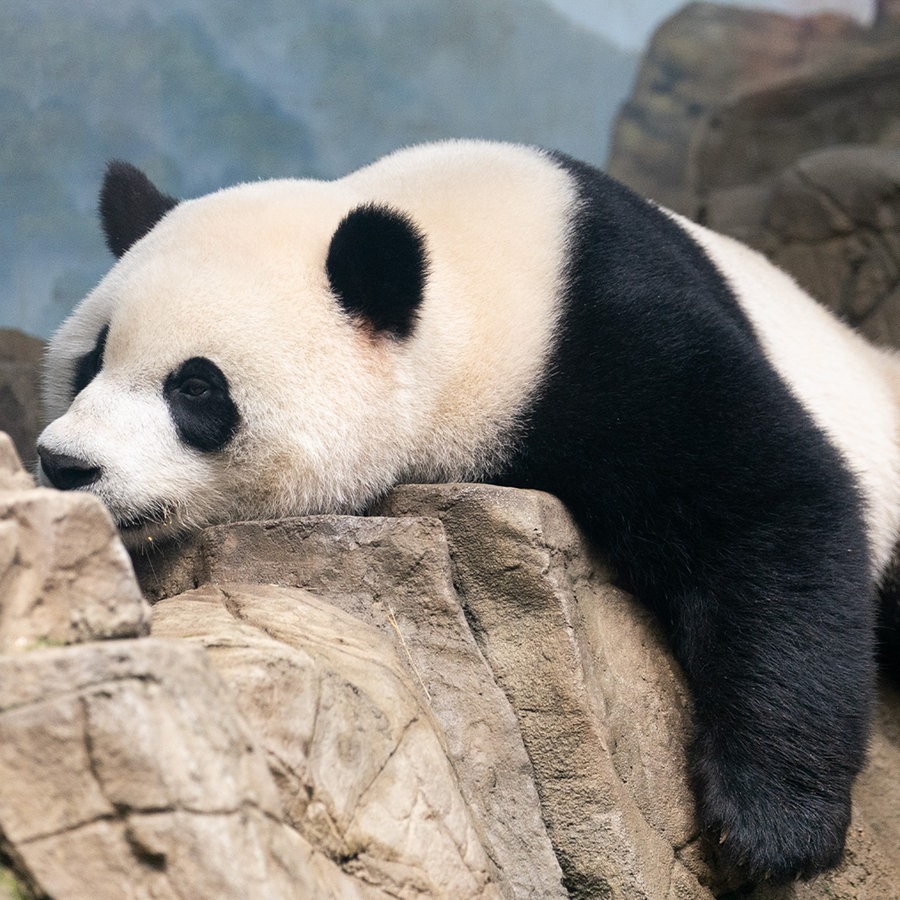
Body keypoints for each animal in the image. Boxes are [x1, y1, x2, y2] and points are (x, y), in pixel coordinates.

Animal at [35, 142, 900, 884]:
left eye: (196, 387)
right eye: (90, 361)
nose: (66, 464)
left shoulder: (605, 336)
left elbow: (775, 507)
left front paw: (770, 829)